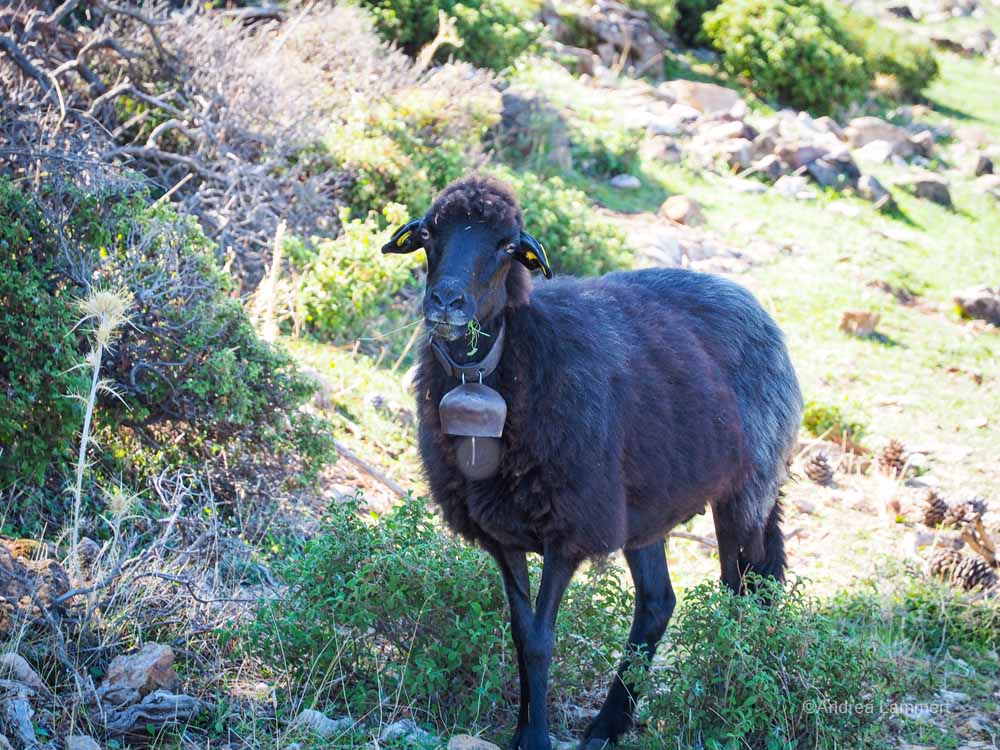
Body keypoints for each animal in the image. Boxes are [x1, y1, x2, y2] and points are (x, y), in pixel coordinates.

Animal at [382, 176, 804, 750]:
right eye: (427, 234)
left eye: (507, 246)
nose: (447, 301)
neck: (502, 367)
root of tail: (751, 304)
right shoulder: (501, 533)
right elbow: (521, 634)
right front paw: (524, 728)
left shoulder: (569, 528)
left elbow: (542, 638)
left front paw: (536, 738)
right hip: (647, 507)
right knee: (658, 603)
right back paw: (609, 725)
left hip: (747, 489)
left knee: (748, 592)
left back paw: (732, 694)